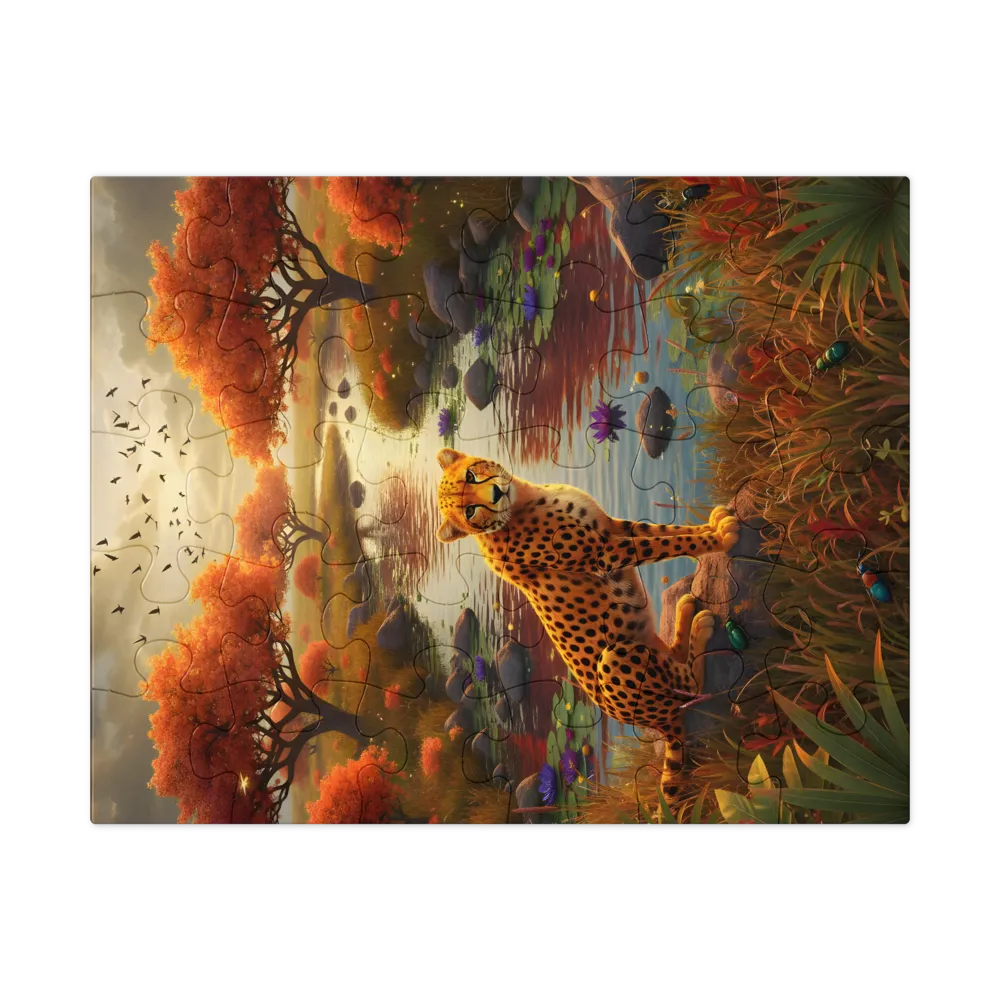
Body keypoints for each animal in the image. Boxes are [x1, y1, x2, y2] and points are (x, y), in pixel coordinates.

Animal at [435, 448, 740, 818]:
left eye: (471, 476)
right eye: (469, 511)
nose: (493, 494)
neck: (519, 500)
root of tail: (658, 724)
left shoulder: (611, 526)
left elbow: (664, 530)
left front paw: (711, 523)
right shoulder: (606, 552)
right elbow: (666, 543)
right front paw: (719, 538)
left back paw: (684, 612)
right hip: (615, 657)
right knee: (688, 689)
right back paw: (698, 625)